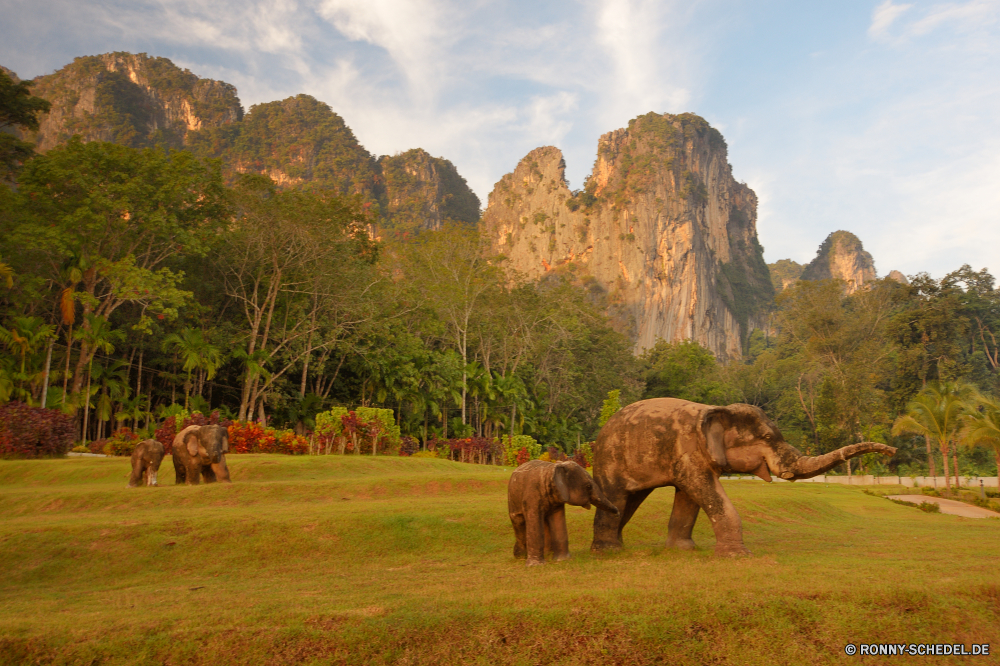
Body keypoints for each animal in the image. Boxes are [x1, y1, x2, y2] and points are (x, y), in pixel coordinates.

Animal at [584, 400, 900, 556]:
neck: (716, 409)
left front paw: (684, 551)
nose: (892, 450)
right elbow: (704, 490)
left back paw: (614, 545)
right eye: (768, 438)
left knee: (629, 502)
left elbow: (689, 496)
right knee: (616, 497)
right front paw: (737, 555)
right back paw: (608, 551)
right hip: (610, 459)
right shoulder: (687, 449)